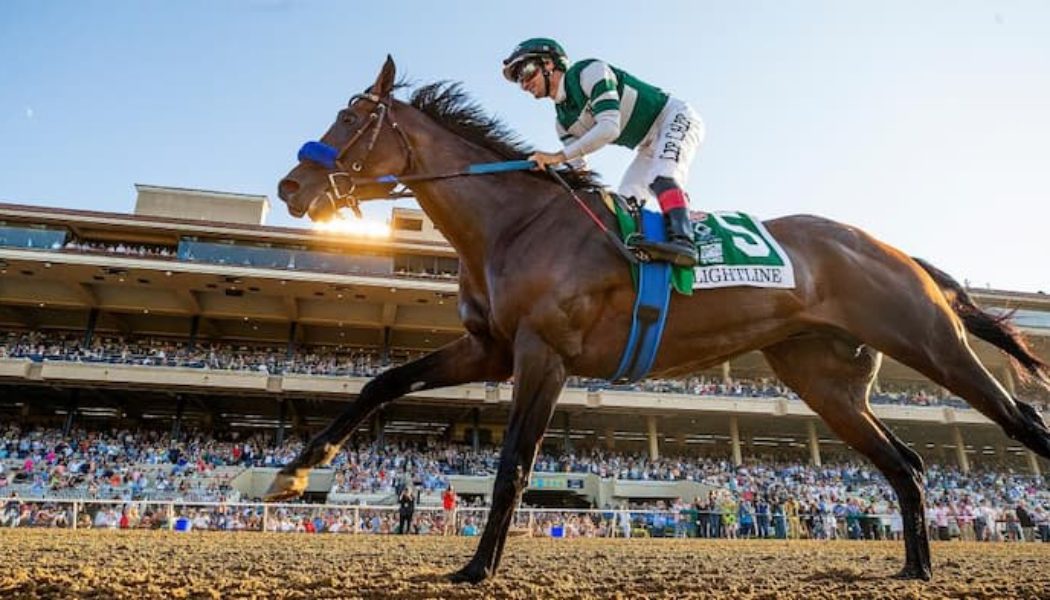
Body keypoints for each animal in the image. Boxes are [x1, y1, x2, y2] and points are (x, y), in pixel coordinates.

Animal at [268, 56, 1050, 583]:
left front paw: (476, 569)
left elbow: (513, 464)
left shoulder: (544, 354)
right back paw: (916, 567)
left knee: (1021, 422)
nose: (292, 185)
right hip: (825, 381)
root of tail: (894, 249)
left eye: (352, 120)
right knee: (907, 464)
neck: (516, 222)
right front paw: (296, 472)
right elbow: (382, 383)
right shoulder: (489, 349)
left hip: (930, 340)